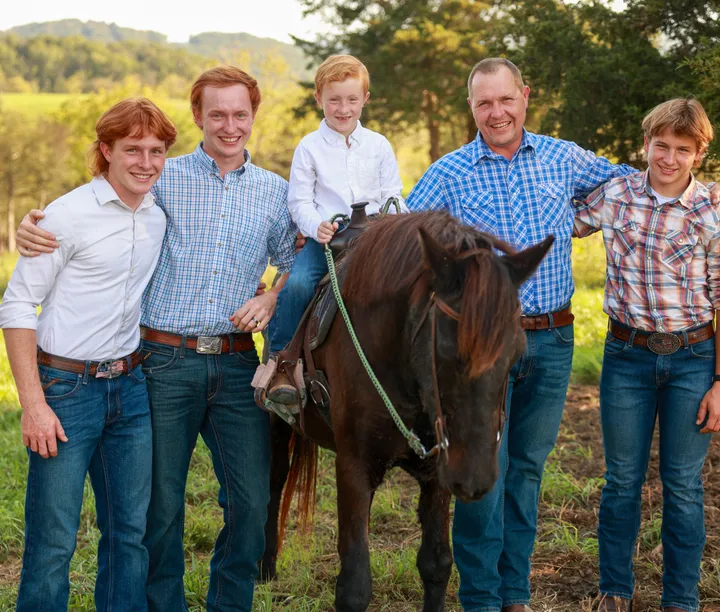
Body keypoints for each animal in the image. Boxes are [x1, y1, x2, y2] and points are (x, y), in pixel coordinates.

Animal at [262, 212, 556, 612]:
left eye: (517, 350)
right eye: (446, 348)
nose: (475, 478)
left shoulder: (438, 470)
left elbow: (435, 564)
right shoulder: (354, 464)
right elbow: (354, 586)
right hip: (278, 423)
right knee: (274, 484)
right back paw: (264, 566)